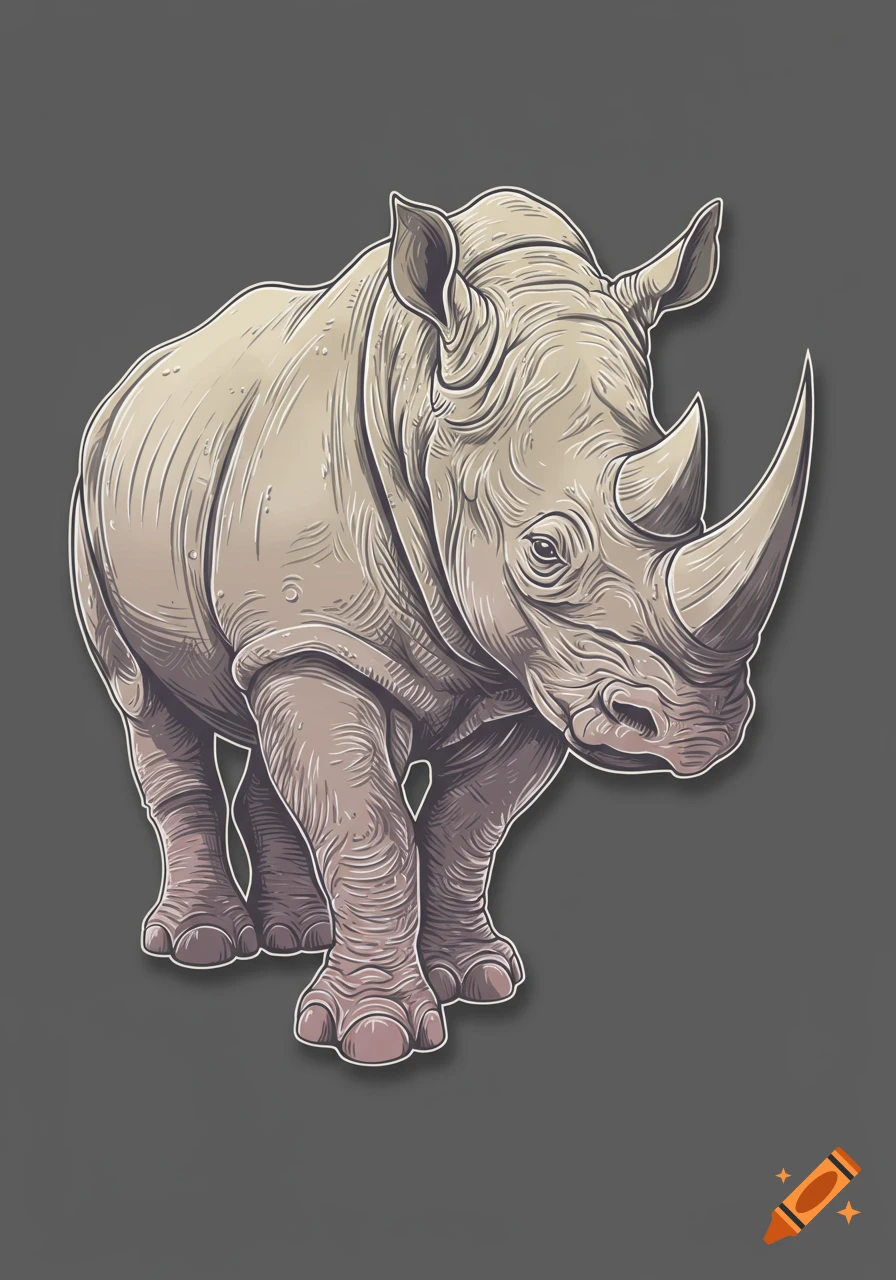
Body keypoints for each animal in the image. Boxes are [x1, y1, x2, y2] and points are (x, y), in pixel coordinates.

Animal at [71, 189, 812, 1065]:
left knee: (252, 704)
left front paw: (479, 980)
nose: (698, 731)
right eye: (544, 551)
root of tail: (136, 377)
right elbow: (368, 826)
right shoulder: (326, 638)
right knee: (144, 700)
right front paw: (375, 1036)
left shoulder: (529, 671)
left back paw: (296, 936)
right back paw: (201, 946)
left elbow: (469, 826)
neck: (423, 409)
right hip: (93, 489)